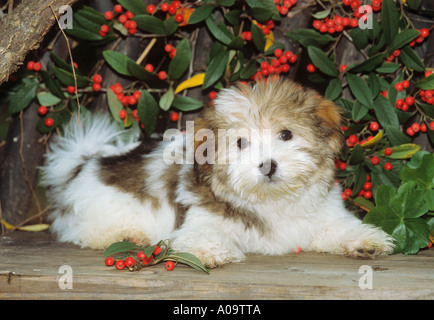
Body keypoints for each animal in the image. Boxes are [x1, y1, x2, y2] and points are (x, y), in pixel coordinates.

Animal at [42, 79, 396, 268]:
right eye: (240, 143)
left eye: (286, 134)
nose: (268, 164)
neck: (272, 200)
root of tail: (86, 162)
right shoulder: (200, 218)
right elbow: (200, 235)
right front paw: (211, 251)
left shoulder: (322, 213)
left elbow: (338, 227)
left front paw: (365, 240)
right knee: (82, 232)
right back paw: (125, 235)